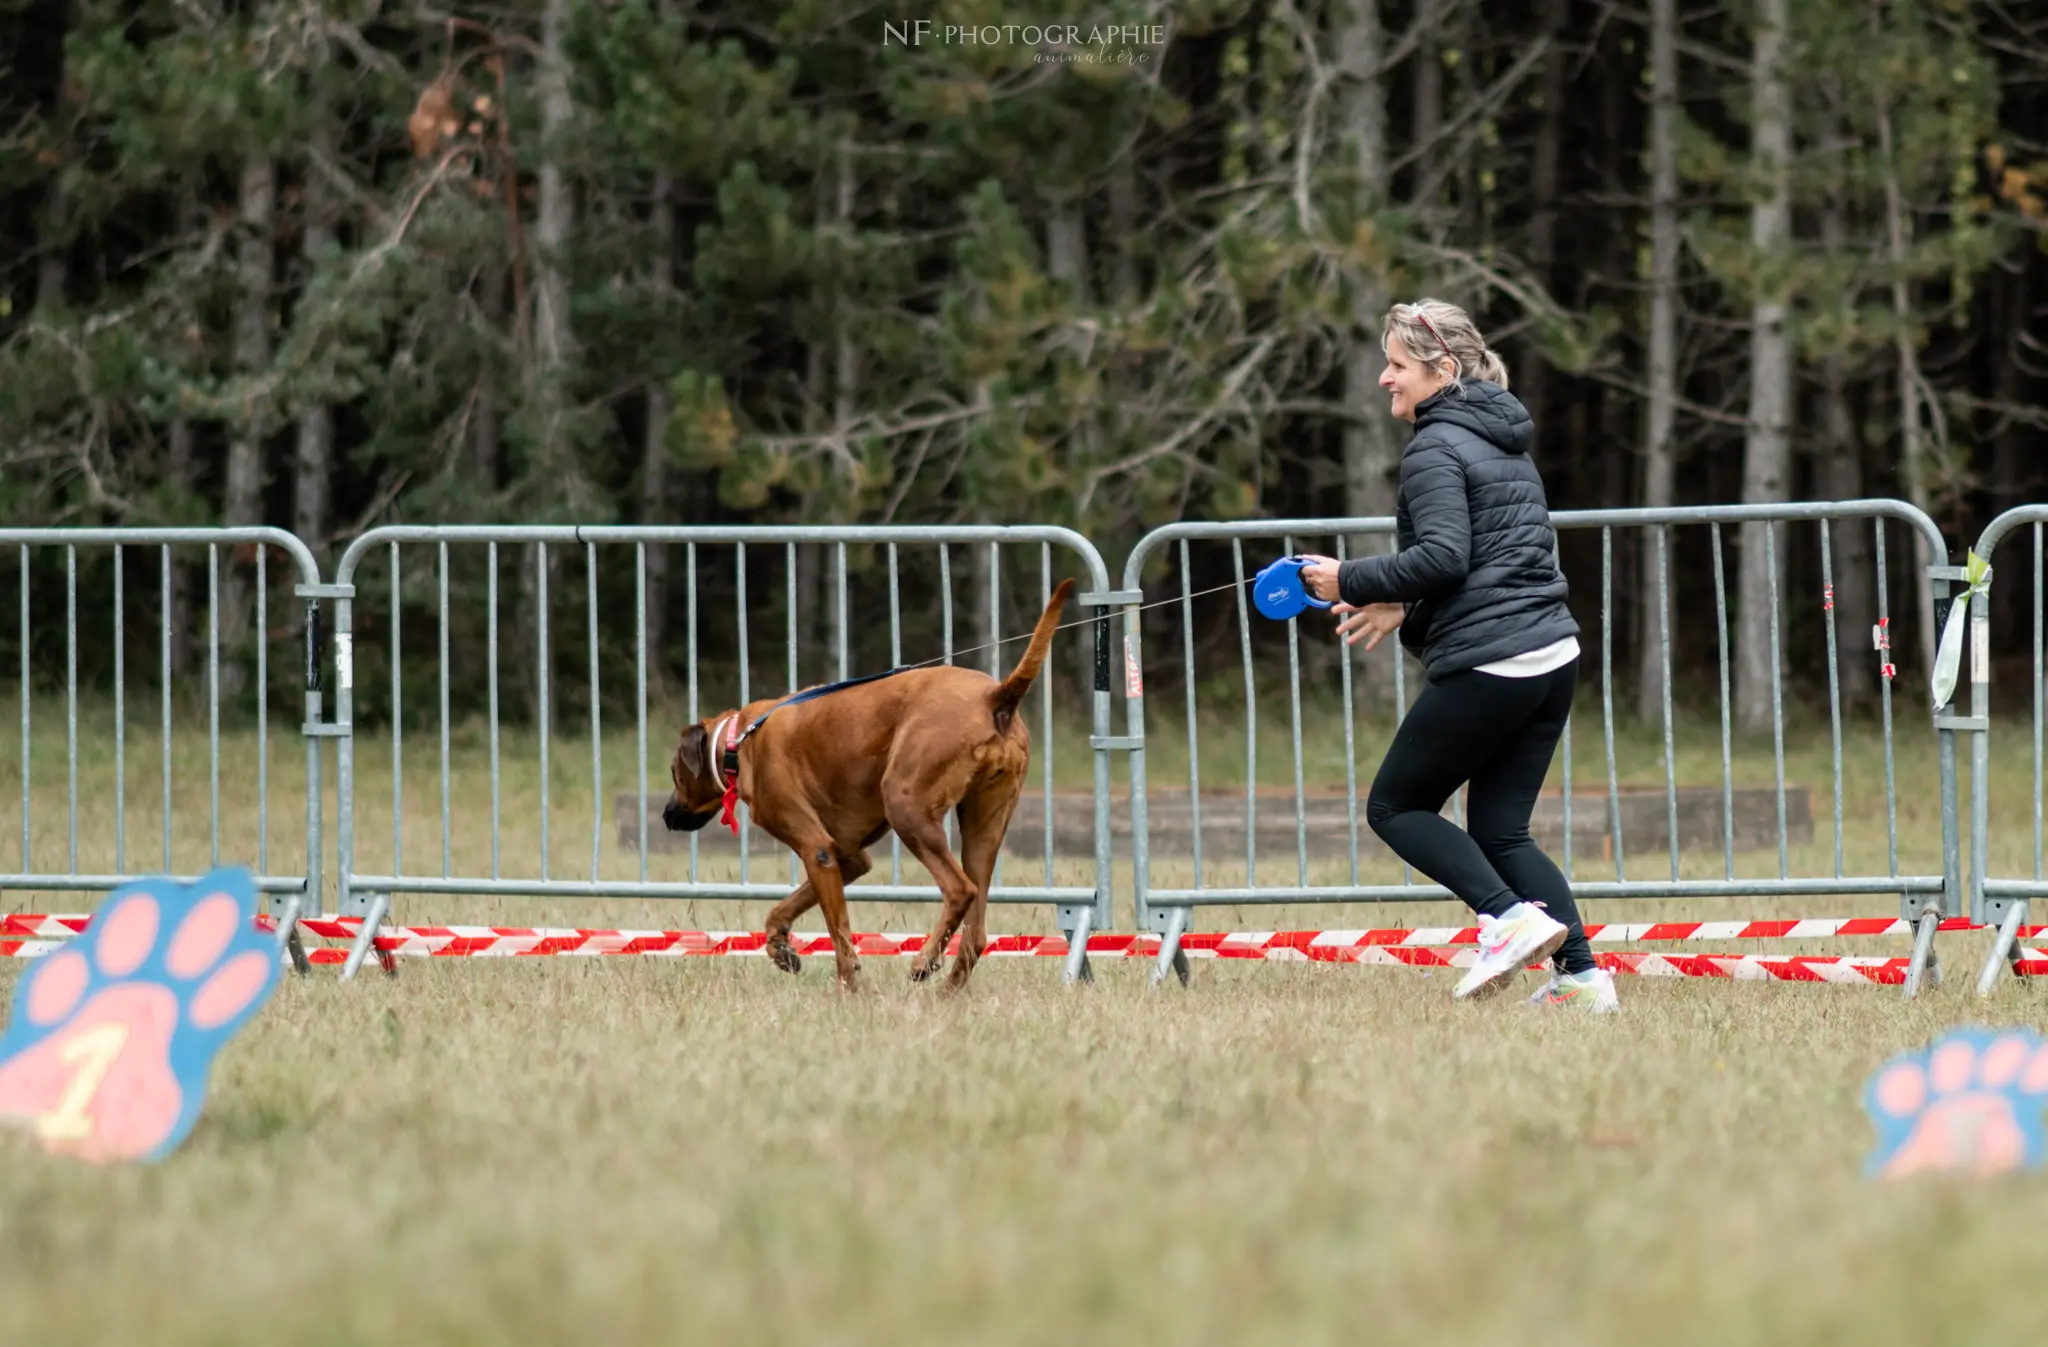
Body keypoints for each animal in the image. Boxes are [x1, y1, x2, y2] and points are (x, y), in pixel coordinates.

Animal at [667, 577, 1089, 986]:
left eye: (674, 772)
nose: (667, 815)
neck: (739, 740)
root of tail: (994, 696)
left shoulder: (816, 849)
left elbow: (839, 935)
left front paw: (848, 984)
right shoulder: (848, 857)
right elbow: (782, 909)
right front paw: (779, 947)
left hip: (907, 809)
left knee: (960, 891)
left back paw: (924, 960)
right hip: (983, 829)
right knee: (977, 933)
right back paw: (947, 994)